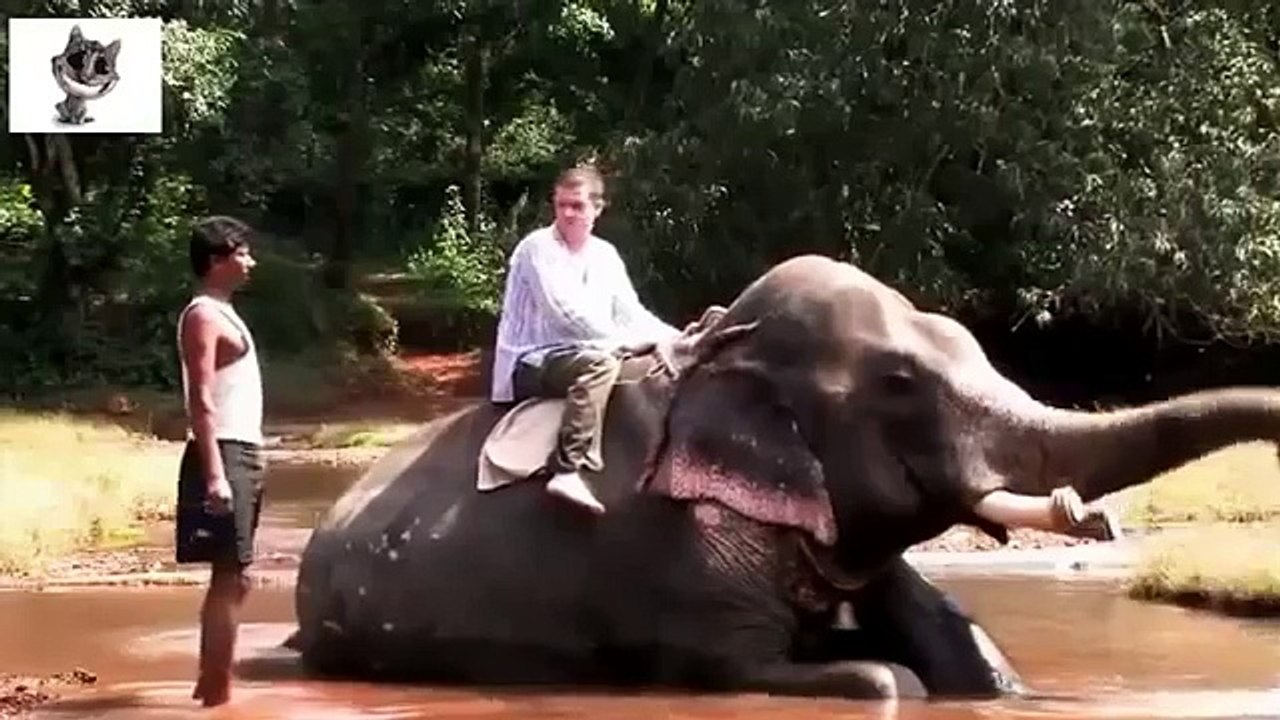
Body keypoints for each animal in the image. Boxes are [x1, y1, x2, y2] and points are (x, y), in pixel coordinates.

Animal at [289, 254, 1280, 700]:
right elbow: (807, 671)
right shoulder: (672, 556)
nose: (1099, 518)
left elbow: (968, 655)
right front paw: (878, 675)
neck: (723, 358)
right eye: (901, 385)